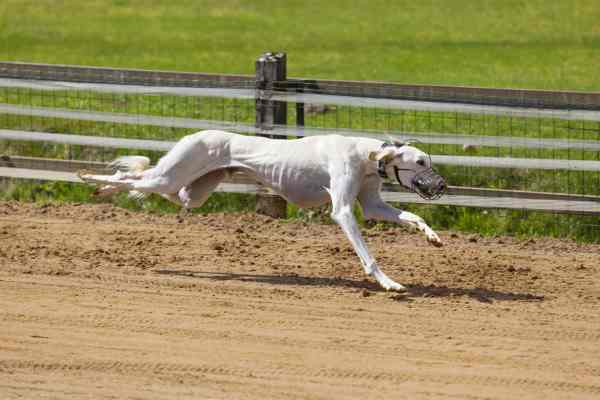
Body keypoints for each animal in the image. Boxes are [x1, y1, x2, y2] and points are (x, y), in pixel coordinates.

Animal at [78, 131, 446, 290]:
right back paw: (91, 179)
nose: (441, 185)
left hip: (191, 192)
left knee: (136, 180)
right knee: (131, 177)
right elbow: (367, 254)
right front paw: (389, 284)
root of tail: (192, 135)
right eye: (420, 162)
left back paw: (103, 187)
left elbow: (413, 217)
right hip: (172, 176)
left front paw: (432, 237)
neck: (364, 154)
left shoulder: (371, 204)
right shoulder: (342, 210)